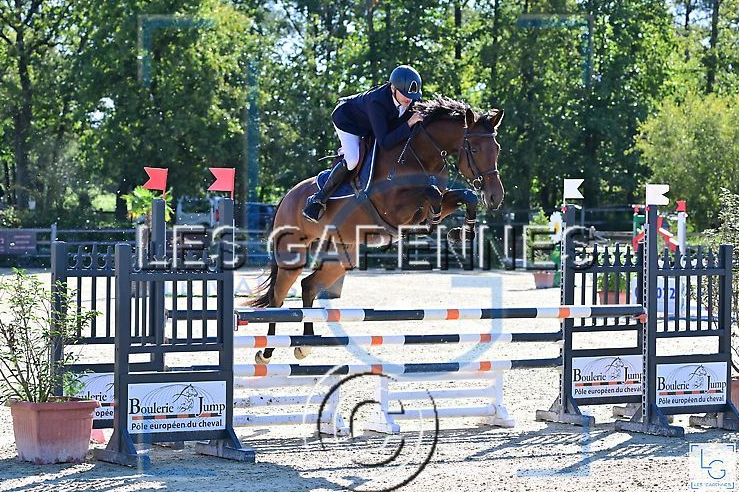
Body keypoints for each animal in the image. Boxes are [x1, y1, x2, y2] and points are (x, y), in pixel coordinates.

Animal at [247, 96, 505, 364]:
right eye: (474, 150)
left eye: (497, 149)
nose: (495, 197)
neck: (421, 155)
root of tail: (286, 197)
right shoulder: (394, 208)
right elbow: (431, 193)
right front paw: (434, 223)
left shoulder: (440, 200)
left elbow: (465, 196)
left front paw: (461, 233)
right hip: (292, 253)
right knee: (278, 297)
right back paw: (266, 352)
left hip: (343, 256)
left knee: (308, 286)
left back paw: (304, 345)